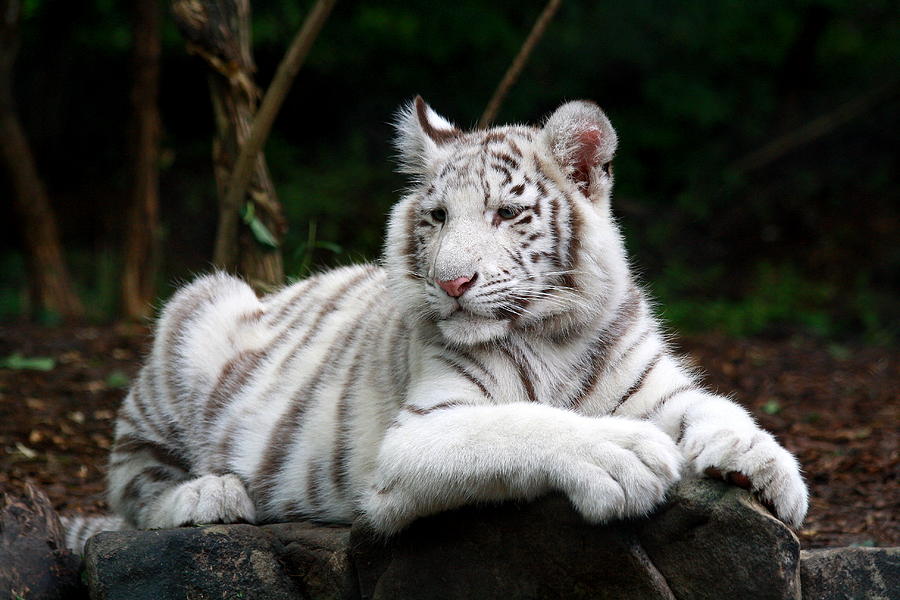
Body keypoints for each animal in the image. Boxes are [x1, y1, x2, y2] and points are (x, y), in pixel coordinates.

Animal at [65, 98, 808, 552]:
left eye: (507, 214)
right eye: (438, 218)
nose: (452, 283)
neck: (553, 334)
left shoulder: (657, 390)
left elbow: (720, 409)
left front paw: (768, 468)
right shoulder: (413, 436)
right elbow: (520, 424)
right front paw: (621, 456)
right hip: (199, 306)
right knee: (129, 491)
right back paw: (212, 493)